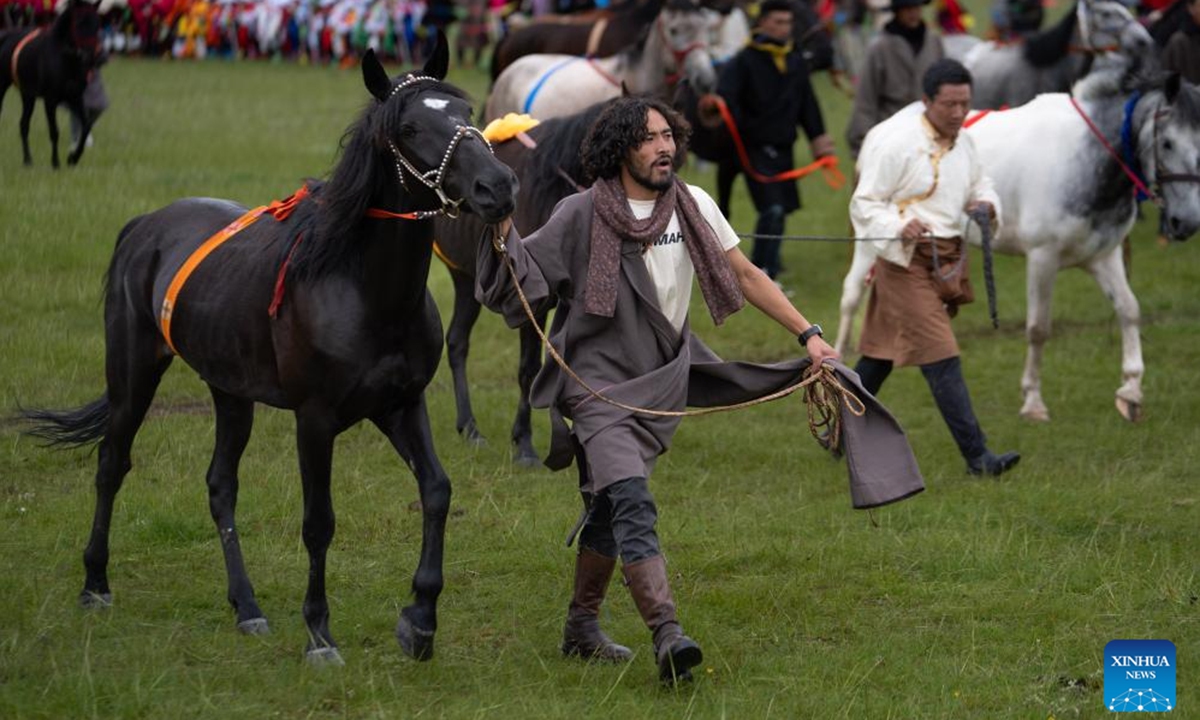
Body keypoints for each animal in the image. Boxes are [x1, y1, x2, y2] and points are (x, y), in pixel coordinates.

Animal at [0, 0, 101, 166]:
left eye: (98, 23)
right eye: (79, 23)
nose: (91, 56)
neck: (66, 59)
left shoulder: (75, 98)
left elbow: (86, 125)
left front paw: (73, 157)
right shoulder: (50, 100)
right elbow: (54, 131)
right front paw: (56, 162)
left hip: (27, 95)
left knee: (23, 125)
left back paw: (28, 160)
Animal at [18, 37, 516, 667]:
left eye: (466, 112)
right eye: (409, 127)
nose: (498, 186)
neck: (362, 289)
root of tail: (144, 225)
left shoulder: (401, 406)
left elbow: (437, 492)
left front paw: (420, 620)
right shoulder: (315, 420)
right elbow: (319, 522)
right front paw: (320, 633)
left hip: (230, 392)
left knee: (219, 485)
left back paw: (247, 606)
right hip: (134, 373)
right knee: (112, 463)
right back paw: (95, 584)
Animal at [432, 99, 609, 468]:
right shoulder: (532, 301)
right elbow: (529, 368)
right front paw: (524, 444)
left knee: (456, 341)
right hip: (464, 276)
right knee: (457, 342)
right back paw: (470, 428)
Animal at [835, 69, 1200, 422]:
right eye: (1167, 143)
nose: (1185, 222)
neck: (1087, 162)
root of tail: (880, 132)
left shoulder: (1104, 257)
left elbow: (1129, 310)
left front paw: (1131, 392)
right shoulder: (1042, 257)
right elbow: (1038, 328)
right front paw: (1033, 401)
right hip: (871, 243)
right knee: (851, 296)